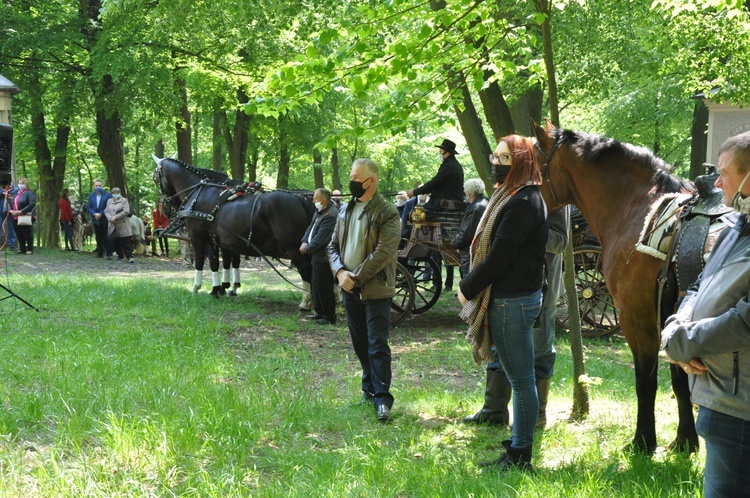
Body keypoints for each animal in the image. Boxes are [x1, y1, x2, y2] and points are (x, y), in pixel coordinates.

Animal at [153, 156, 314, 296]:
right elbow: (220, 263)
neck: (199, 192)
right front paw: (219, 288)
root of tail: (300, 199)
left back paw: (306, 301)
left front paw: (197, 288)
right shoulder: (219, 240)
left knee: (305, 268)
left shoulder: (198, 236)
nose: (165, 207)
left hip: (293, 247)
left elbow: (201, 261)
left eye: (155, 177)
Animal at [532, 121, 704, 456]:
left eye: (530, 163)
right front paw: (683, 442)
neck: (637, 209)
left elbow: (646, 382)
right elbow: (679, 383)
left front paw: (643, 442)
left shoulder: (637, 318)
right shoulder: (671, 320)